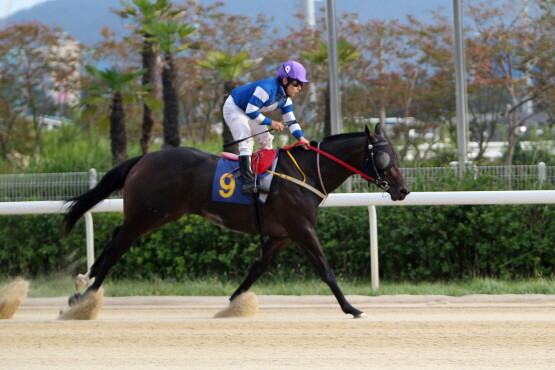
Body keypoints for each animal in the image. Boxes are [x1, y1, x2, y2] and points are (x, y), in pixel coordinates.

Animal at [62, 124, 408, 318]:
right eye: (384, 157)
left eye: (396, 155)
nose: (403, 190)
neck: (306, 173)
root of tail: (143, 158)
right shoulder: (301, 228)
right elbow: (325, 270)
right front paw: (352, 308)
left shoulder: (281, 236)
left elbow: (255, 271)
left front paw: (231, 305)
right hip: (147, 214)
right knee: (116, 247)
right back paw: (84, 297)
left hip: (158, 214)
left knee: (114, 240)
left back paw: (83, 283)